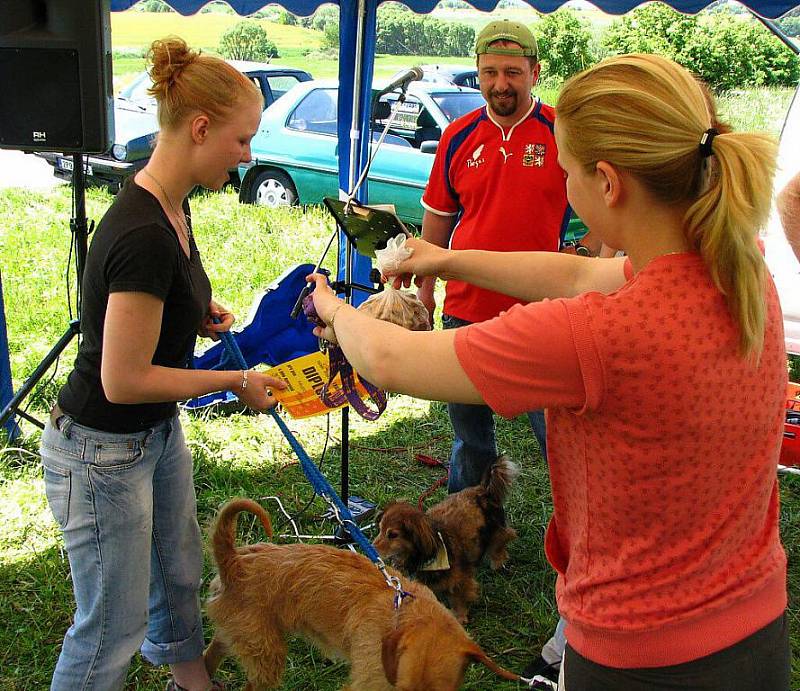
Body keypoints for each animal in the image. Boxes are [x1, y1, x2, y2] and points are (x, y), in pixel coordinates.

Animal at [374, 456, 520, 624]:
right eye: (380, 529)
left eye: (393, 535)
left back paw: (497, 562)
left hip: (495, 530)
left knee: (502, 540)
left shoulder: (460, 581)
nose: (370, 547)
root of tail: (482, 489)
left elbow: (459, 599)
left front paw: (459, 617)